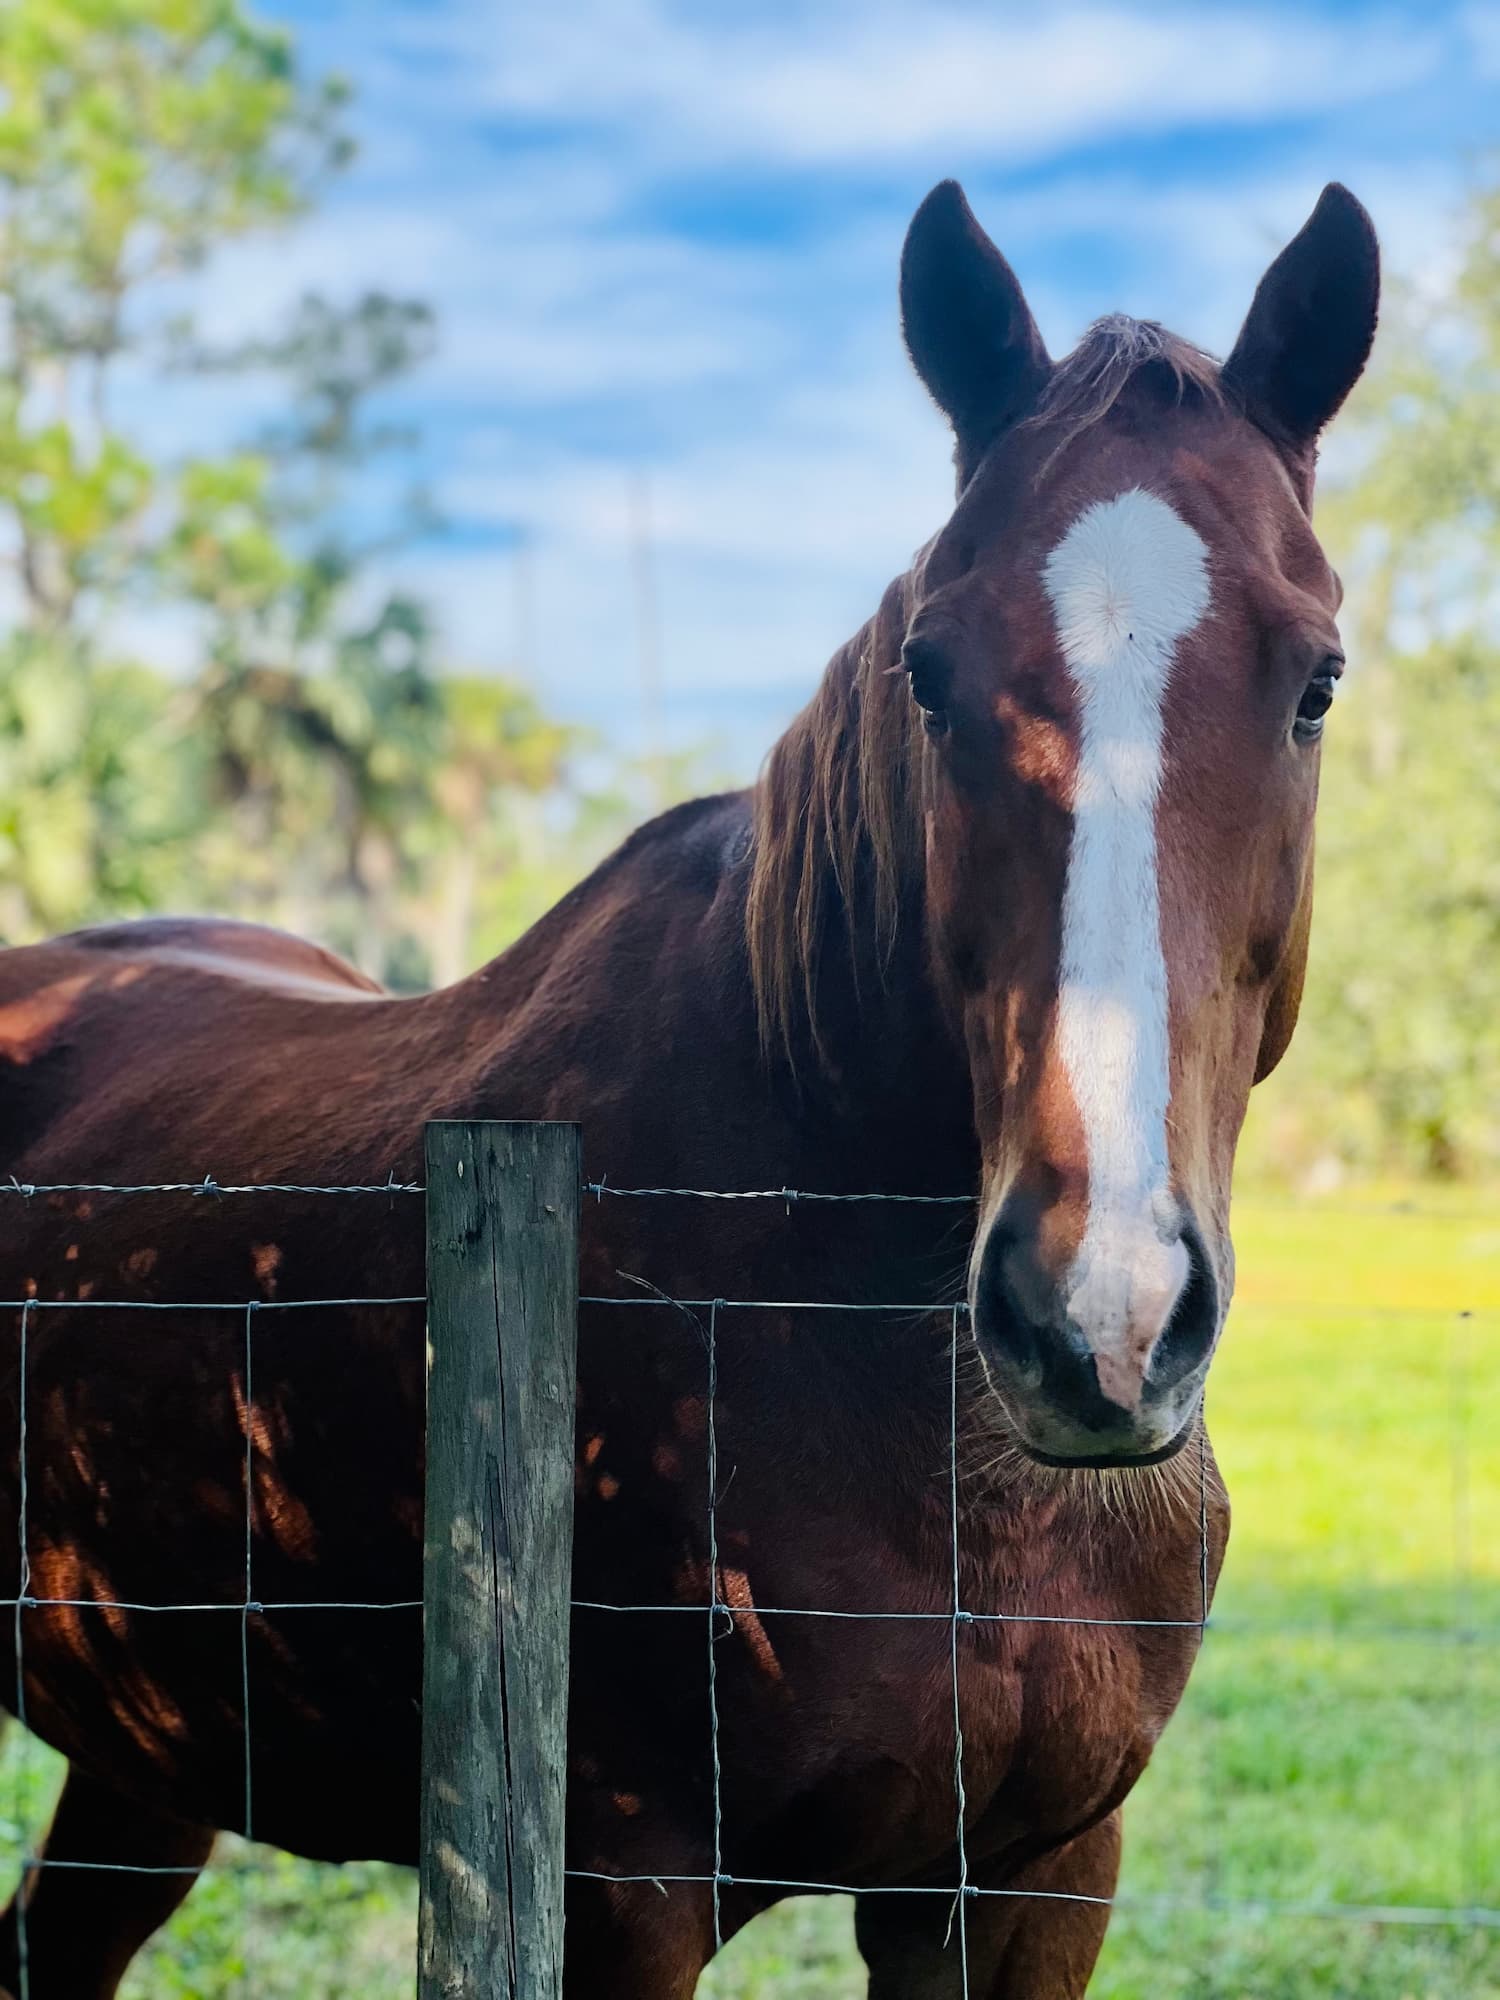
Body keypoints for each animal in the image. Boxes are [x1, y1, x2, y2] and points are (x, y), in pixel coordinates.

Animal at [0, 179, 1377, 1998]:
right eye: (933, 673)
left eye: (1316, 682)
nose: (1103, 1317)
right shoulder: (624, 1890)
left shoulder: (1030, 1881)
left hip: (146, 1751)